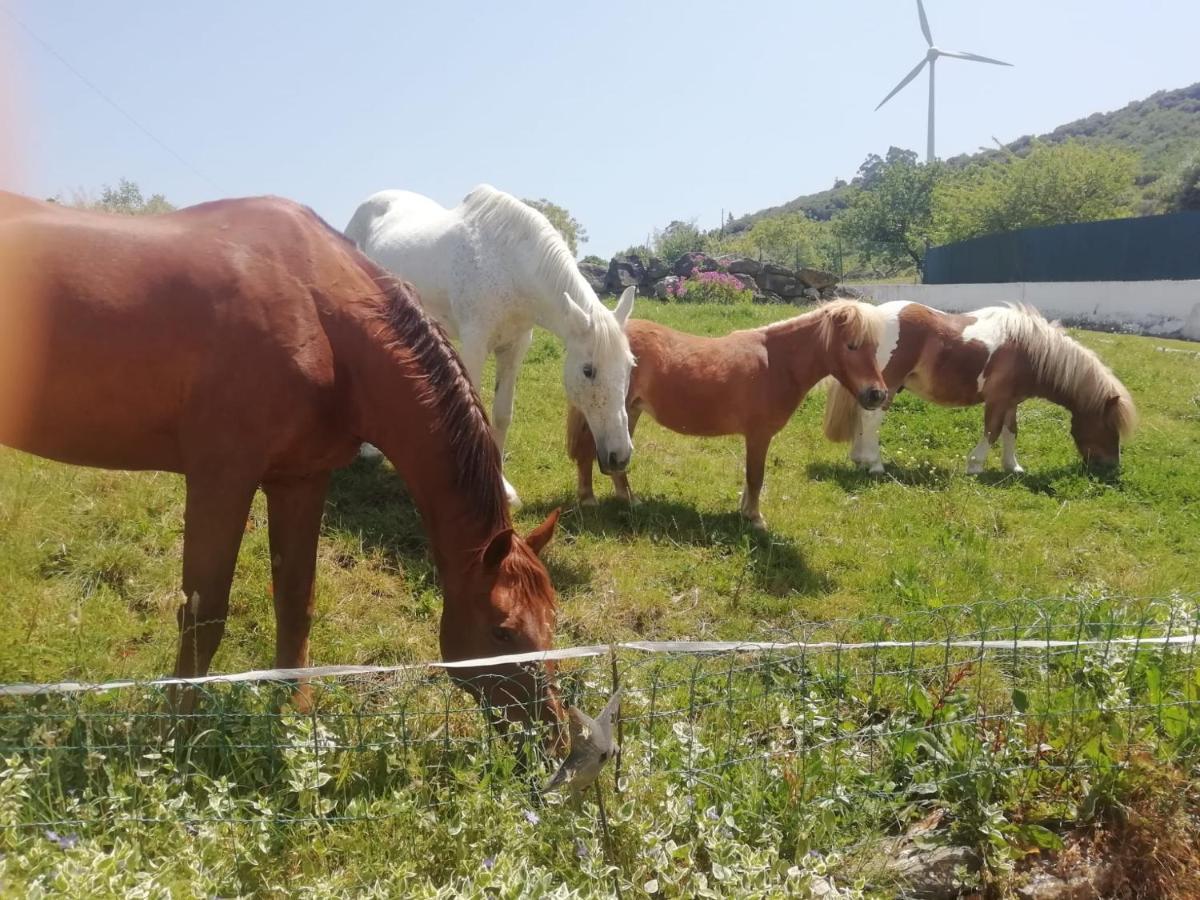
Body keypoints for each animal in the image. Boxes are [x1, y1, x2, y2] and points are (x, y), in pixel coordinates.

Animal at [345, 184, 638, 508]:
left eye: (630, 366)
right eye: (588, 370)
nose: (620, 456)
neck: (509, 266)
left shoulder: (514, 349)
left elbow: (501, 415)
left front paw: (502, 488)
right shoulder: (474, 345)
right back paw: (368, 449)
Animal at [564, 303, 892, 528]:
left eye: (876, 346)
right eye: (851, 345)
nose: (877, 394)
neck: (776, 363)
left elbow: (751, 479)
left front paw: (745, 510)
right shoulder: (758, 435)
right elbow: (756, 476)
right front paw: (755, 518)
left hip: (628, 412)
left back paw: (630, 500)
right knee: (587, 450)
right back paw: (589, 499)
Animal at [825, 301, 1132, 475]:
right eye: (1110, 427)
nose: (1112, 468)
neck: (1029, 350)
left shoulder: (1011, 401)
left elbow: (1011, 432)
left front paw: (1013, 467)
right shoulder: (997, 400)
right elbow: (992, 432)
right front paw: (974, 465)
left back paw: (859, 460)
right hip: (887, 386)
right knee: (871, 418)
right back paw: (875, 464)